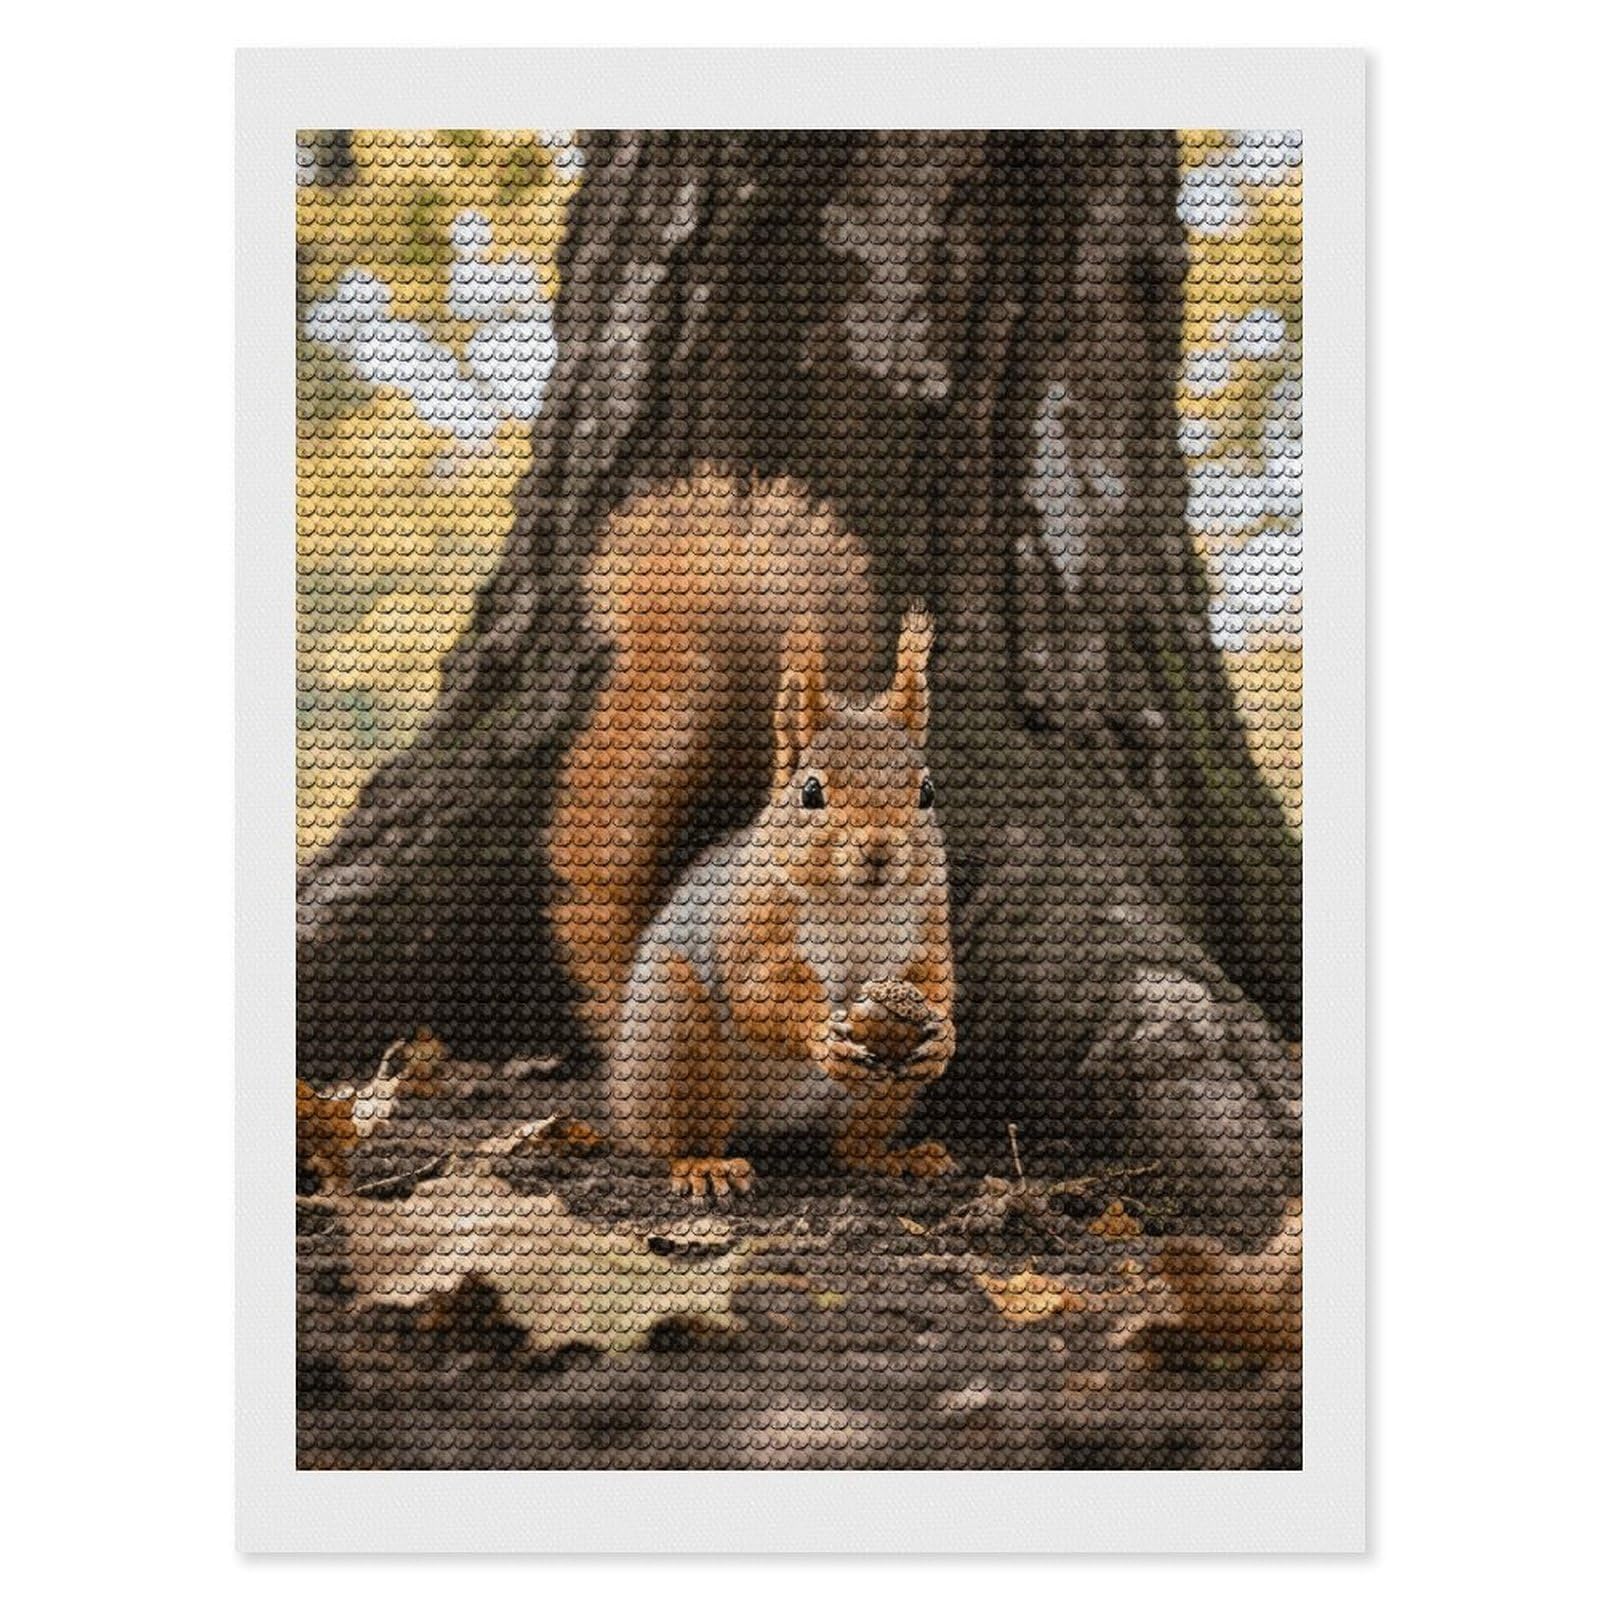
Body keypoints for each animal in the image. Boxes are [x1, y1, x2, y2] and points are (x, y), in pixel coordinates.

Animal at [548, 469, 956, 1197]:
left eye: (926, 791)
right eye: (812, 793)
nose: (879, 852)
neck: (857, 906)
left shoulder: (929, 917)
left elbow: (939, 978)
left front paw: (945, 1037)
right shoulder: (751, 921)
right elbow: (759, 990)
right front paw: (820, 1030)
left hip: (879, 1095)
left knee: (851, 1148)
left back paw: (895, 1156)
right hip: (679, 1034)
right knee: (672, 1136)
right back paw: (704, 1163)